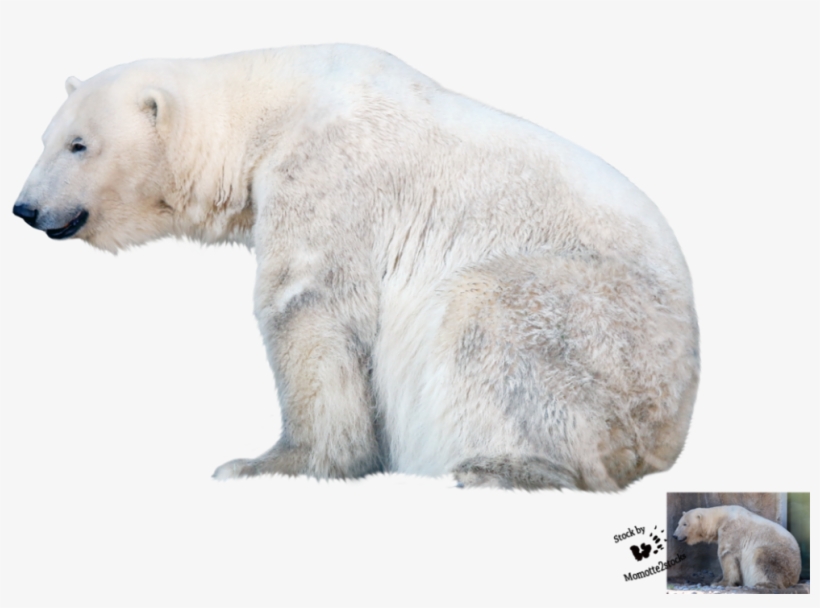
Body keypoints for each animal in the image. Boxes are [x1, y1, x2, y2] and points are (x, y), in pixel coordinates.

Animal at [12, 45, 700, 490]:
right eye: (45, 139)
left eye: (79, 144)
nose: (24, 208)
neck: (269, 109)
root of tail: (670, 437)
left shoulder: (327, 175)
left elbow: (310, 310)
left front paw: (268, 465)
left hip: (603, 334)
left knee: (489, 317)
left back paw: (497, 468)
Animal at [673, 506, 802, 588]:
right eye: (679, 523)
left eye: (685, 524)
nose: (674, 536)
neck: (721, 518)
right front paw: (717, 579)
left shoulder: (731, 530)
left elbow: (727, 555)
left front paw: (720, 583)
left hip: (782, 557)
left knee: (763, 558)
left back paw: (762, 584)